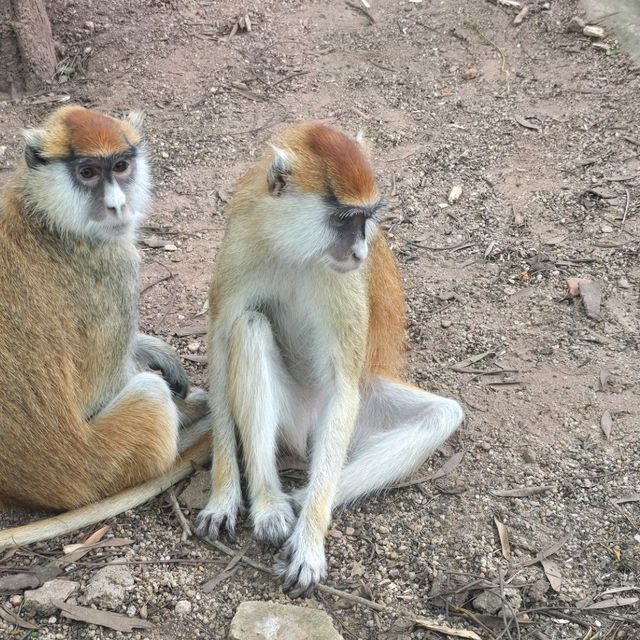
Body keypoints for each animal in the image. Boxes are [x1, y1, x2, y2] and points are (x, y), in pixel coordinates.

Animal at [0, 105, 210, 516]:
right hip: (103, 459)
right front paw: (195, 408)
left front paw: (155, 350)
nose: (116, 205)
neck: (44, 212)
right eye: (87, 173)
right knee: (149, 394)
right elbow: (100, 391)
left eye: (121, 166)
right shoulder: (114, 265)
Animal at [198, 122, 462, 596]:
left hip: (356, 412)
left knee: (440, 416)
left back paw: (302, 500)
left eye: (366, 218)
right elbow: (221, 346)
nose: (359, 251)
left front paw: (309, 543)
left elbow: (343, 385)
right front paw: (223, 498)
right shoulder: (240, 247)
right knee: (250, 327)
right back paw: (270, 503)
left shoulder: (345, 286)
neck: (295, 250)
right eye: (343, 219)